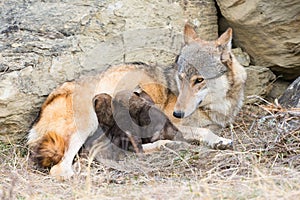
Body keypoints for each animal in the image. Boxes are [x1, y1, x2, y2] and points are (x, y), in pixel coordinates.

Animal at [27, 23, 246, 180]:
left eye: (199, 80)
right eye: (181, 78)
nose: (178, 113)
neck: (217, 105)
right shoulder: (172, 122)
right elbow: (204, 131)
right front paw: (219, 141)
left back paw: (164, 145)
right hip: (88, 123)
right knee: (60, 169)